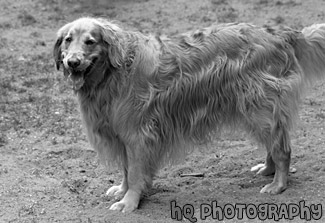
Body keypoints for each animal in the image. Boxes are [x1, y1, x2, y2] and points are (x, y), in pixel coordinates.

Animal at [53, 17, 324, 213]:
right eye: (68, 40)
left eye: (90, 41)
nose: (72, 62)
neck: (113, 72)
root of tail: (279, 34)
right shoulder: (123, 136)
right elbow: (127, 171)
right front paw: (122, 190)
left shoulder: (137, 134)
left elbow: (136, 172)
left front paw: (130, 202)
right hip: (256, 110)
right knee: (273, 143)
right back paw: (267, 169)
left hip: (259, 107)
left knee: (282, 149)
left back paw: (278, 184)